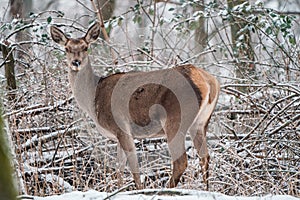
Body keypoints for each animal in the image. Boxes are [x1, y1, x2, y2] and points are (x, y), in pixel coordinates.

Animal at [50, 21, 220, 189]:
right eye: (67, 48)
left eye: (85, 47)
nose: (76, 62)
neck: (93, 99)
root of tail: (208, 82)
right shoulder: (119, 136)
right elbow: (119, 168)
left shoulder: (121, 127)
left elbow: (133, 168)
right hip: (201, 122)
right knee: (205, 156)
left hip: (175, 118)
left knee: (181, 161)